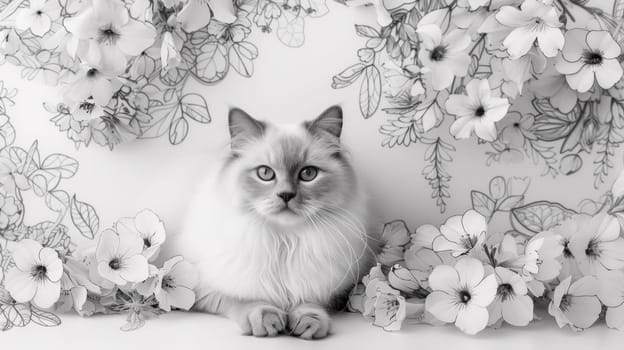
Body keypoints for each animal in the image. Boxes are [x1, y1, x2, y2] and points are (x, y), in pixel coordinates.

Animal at [166, 106, 378, 340]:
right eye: (265, 173)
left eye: (308, 173)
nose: (286, 195)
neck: (284, 242)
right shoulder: (201, 289)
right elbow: (245, 301)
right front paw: (267, 320)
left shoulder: (327, 288)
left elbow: (309, 303)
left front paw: (308, 322)